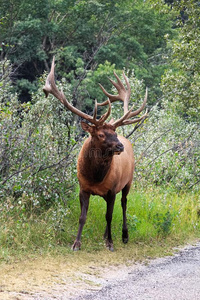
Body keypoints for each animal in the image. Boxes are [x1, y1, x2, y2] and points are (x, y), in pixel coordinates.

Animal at [43, 56, 147, 251]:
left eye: (114, 132)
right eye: (100, 134)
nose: (120, 146)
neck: (96, 178)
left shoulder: (112, 189)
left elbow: (109, 216)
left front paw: (111, 243)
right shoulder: (83, 188)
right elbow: (82, 217)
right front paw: (76, 243)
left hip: (128, 181)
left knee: (123, 204)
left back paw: (124, 235)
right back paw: (106, 235)